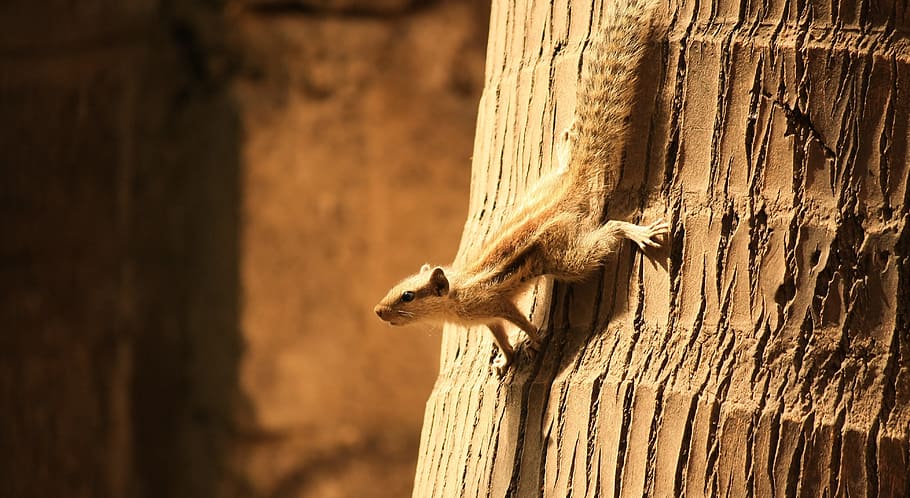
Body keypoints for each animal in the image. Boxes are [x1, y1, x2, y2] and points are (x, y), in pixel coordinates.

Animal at [374, 0, 667, 376]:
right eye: (395, 288)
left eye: (407, 296)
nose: (378, 311)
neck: (456, 294)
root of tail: (568, 187)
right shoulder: (487, 319)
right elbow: (500, 335)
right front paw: (505, 359)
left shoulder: (496, 303)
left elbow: (519, 320)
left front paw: (534, 341)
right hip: (543, 189)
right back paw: (566, 147)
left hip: (567, 257)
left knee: (610, 228)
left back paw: (639, 232)